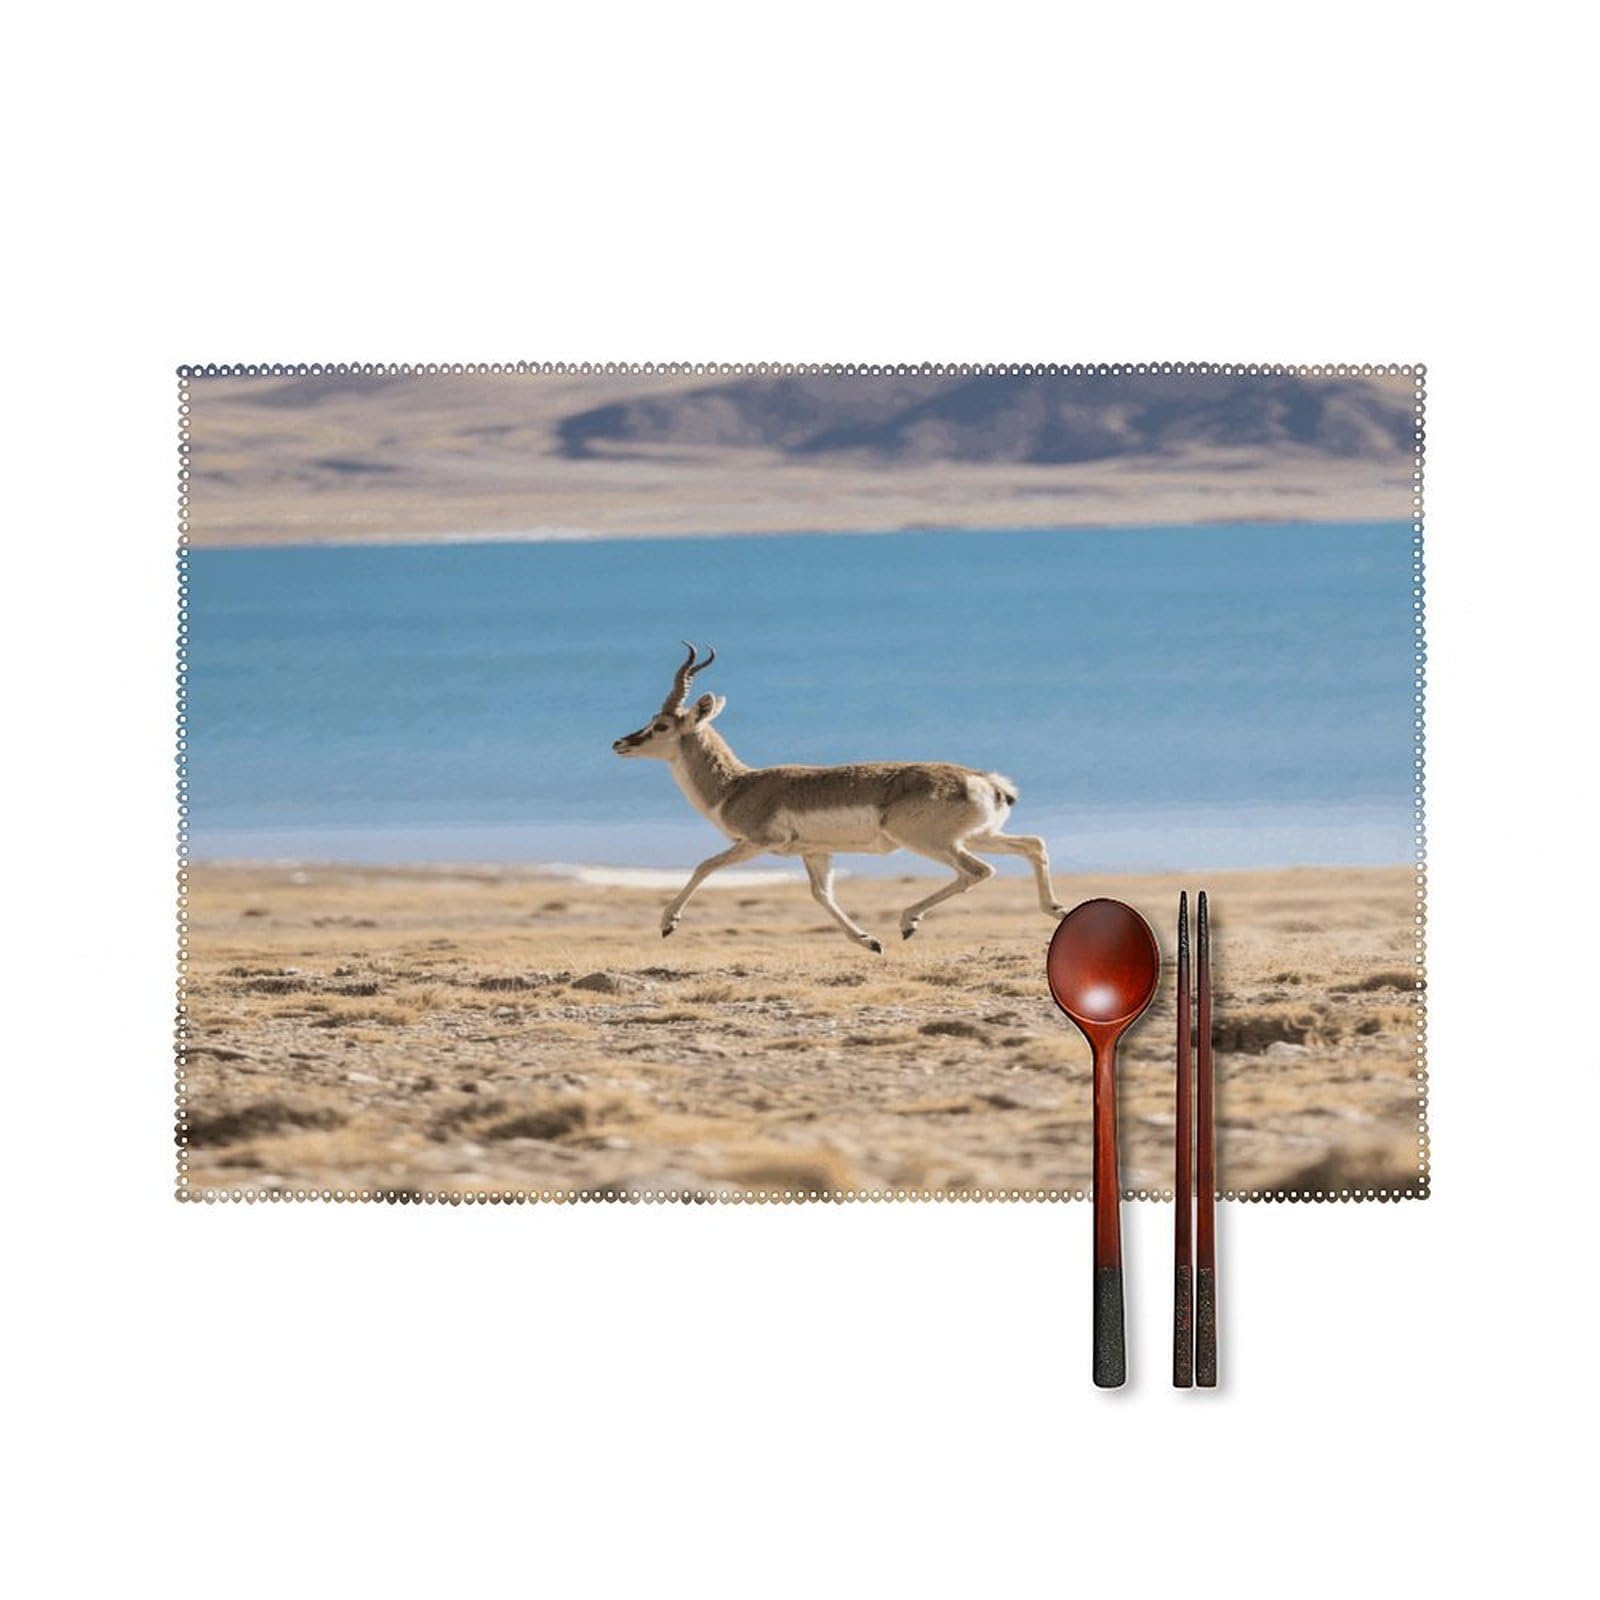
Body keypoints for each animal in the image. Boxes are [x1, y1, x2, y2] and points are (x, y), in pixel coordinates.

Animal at [612, 643, 1068, 952]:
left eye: (660, 725)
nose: (620, 743)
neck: (736, 786)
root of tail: (987, 782)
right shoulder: (815, 853)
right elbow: (822, 896)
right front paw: (869, 941)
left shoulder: (757, 843)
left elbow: (704, 865)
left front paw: (668, 923)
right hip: (979, 836)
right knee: (1033, 844)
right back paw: (1055, 909)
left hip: (932, 843)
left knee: (978, 871)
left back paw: (908, 921)